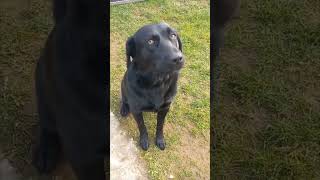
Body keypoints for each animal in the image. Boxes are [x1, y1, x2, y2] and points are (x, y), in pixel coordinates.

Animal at [120, 23, 185, 151]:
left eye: (173, 35)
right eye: (150, 41)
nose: (178, 58)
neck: (157, 83)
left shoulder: (165, 107)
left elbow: (160, 125)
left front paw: (160, 140)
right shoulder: (136, 110)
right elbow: (142, 126)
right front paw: (144, 140)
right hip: (123, 86)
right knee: (124, 99)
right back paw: (124, 108)